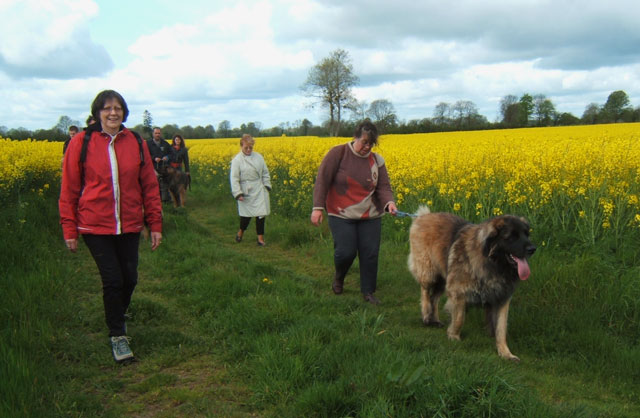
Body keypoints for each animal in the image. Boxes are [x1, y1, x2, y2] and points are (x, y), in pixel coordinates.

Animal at [410, 207, 536, 360]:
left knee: (434, 297)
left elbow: (501, 328)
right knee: (425, 293)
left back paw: (435, 320)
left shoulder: (502, 299)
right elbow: (459, 318)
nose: (532, 249)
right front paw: (454, 336)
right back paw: (426, 316)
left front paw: (506, 353)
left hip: (443, 277)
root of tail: (423, 216)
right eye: (512, 236)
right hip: (429, 273)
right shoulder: (458, 292)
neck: (493, 263)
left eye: (526, 235)